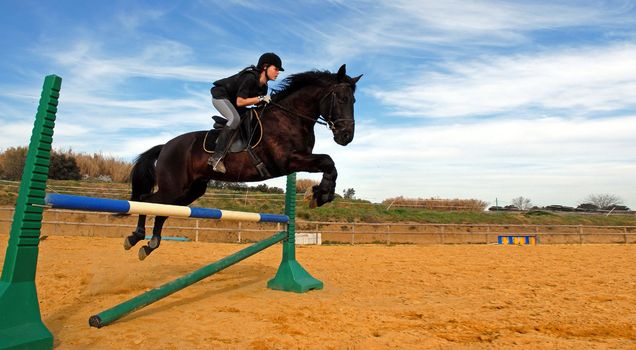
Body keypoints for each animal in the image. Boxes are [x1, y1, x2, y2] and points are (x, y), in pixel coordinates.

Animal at [125, 64, 362, 258]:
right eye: (341, 99)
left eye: (354, 101)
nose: (346, 137)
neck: (290, 117)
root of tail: (165, 146)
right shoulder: (287, 161)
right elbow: (327, 161)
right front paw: (320, 194)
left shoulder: (296, 161)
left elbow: (329, 164)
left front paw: (321, 194)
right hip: (173, 186)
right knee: (147, 200)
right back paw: (136, 236)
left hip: (190, 190)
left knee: (163, 209)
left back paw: (151, 244)